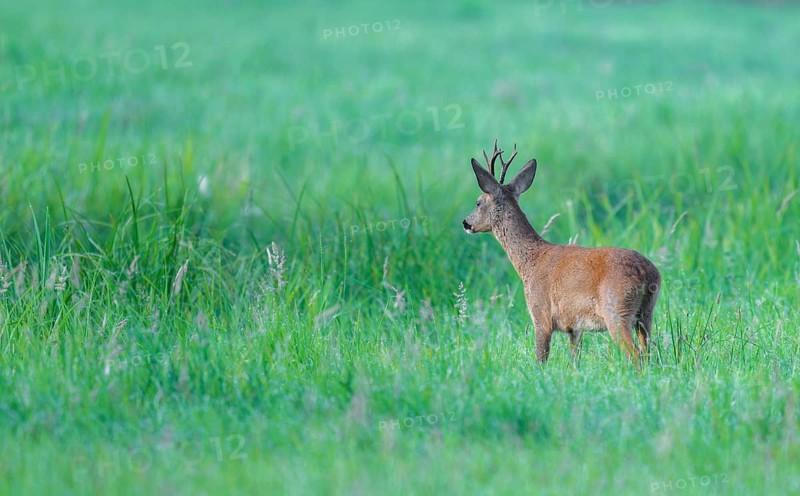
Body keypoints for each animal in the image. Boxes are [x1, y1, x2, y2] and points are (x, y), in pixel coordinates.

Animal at [462, 141, 661, 363]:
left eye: (478, 202)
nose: (466, 223)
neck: (530, 261)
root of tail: (648, 274)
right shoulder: (574, 328)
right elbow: (575, 360)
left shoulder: (540, 314)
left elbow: (540, 359)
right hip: (646, 313)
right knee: (649, 351)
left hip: (617, 309)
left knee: (635, 355)